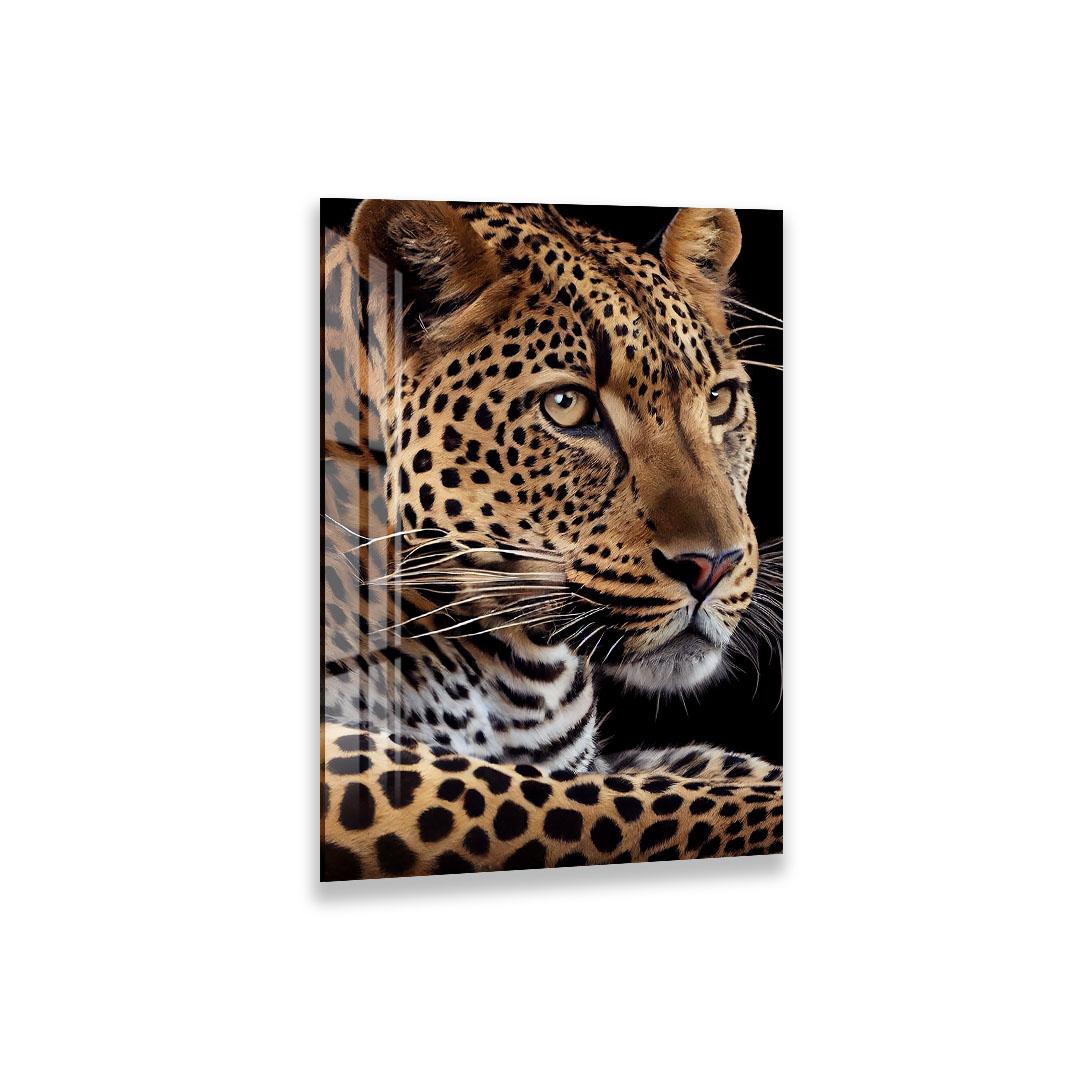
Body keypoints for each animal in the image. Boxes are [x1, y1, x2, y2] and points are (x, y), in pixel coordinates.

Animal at [321, 200, 782, 879]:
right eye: (567, 406)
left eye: (720, 401)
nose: (716, 565)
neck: (519, 673)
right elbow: (637, 805)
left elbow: (713, 769)